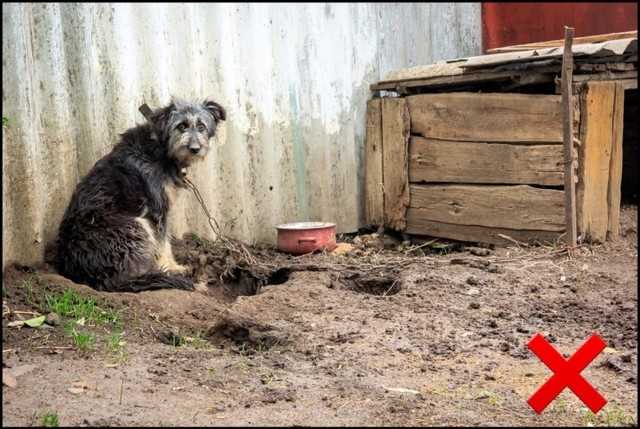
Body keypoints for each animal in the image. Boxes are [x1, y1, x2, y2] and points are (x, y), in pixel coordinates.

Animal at [53, 97, 226, 290]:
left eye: (201, 126)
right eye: (181, 126)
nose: (195, 148)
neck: (160, 147)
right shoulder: (157, 209)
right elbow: (163, 244)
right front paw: (172, 267)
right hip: (136, 224)